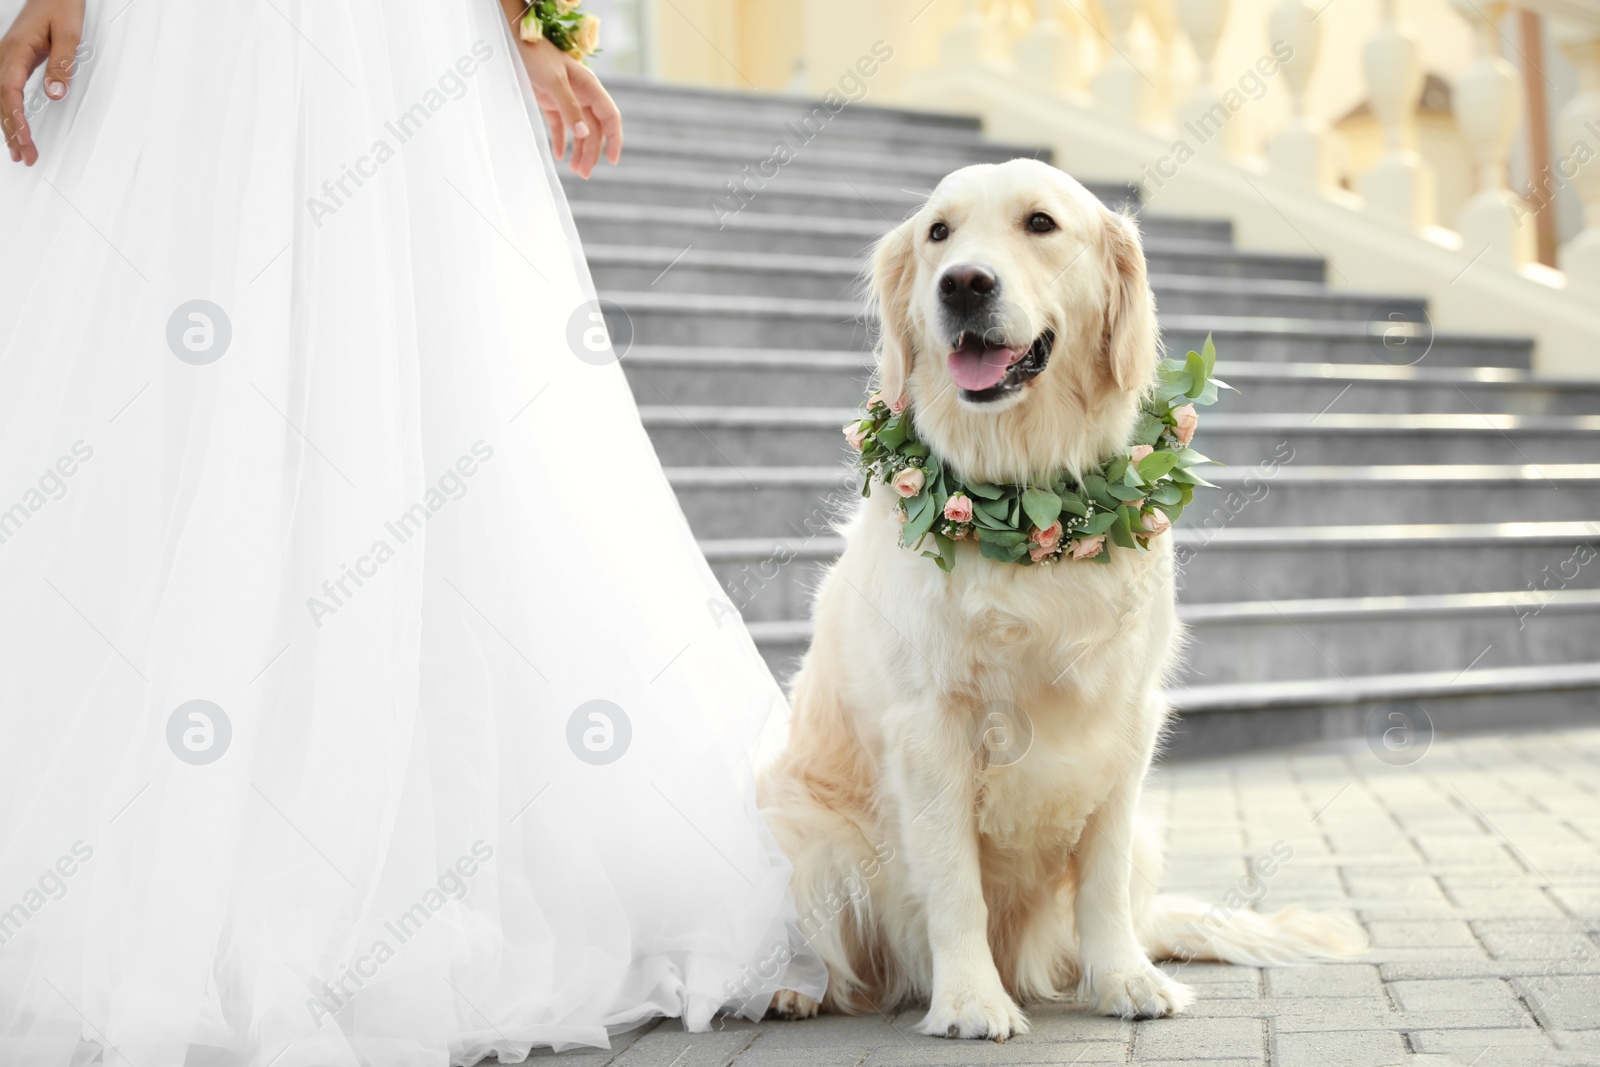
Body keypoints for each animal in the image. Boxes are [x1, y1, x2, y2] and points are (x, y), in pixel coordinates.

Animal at [758, 160, 1363, 1043]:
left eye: (1040, 223)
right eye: (938, 232)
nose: (962, 283)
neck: (1022, 496)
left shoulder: (1126, 721)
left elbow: (1101, 881)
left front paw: (1125, 980)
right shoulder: (927, 725)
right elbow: (954, 884)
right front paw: (970, 1001)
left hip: (1146, 836)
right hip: (802, 826)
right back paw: (788, 987)